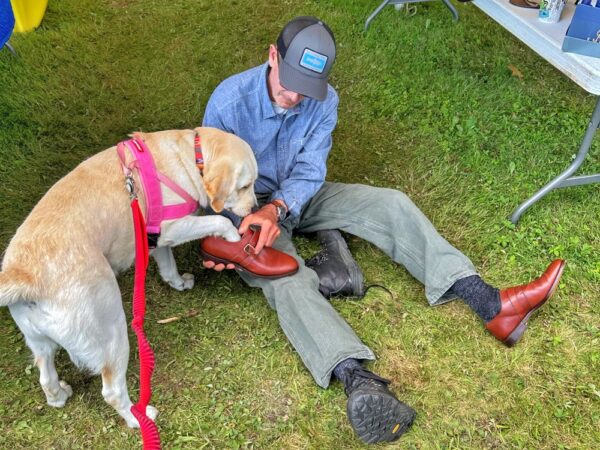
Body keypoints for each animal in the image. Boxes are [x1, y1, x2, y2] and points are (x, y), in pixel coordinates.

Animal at [0, 127, 255, 428]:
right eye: (245, 186)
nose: (254, 209)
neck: (192, 157)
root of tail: (23, 276)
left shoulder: (157, 238)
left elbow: (168, 267)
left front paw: (180, 283)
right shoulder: (174, 227)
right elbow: (219, 221)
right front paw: (235, 238)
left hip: (39, 342)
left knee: (46, 378)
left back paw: (59, 395)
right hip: (113, 332)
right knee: (111, 391)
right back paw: (138, 418)